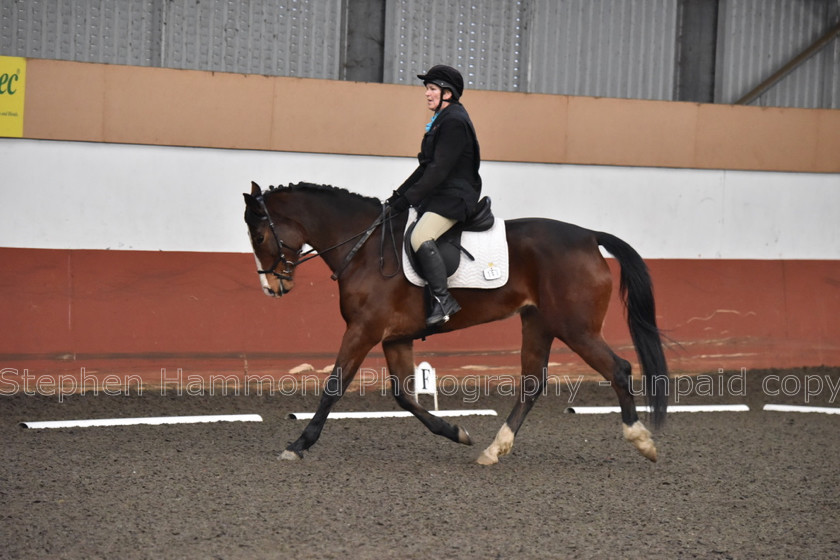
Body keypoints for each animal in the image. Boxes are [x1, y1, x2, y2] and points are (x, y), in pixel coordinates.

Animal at [243, 183, 668, 464]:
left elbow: (334, 386)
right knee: (532, 383)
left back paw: (641, 440)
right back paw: (494, 450)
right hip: (539, 323)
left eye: (260, 235)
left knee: (619, 368)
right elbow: (405, 397)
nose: (271, 287)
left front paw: (298, 445)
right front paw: (457, 433)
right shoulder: (394, 338)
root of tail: (589, 236)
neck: (364, 247)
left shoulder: (363, 331)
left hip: (576, 328)